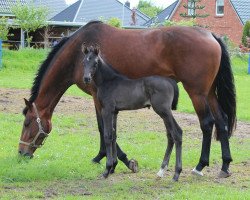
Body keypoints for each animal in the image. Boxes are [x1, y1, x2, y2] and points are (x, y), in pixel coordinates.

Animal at [83, 46, 183, 180]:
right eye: (84, 62)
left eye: (95, 63)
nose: (86, 79)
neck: (108, 82)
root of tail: (170, 81)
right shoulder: (115, 112)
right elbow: (114, 135)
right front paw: (113, 167)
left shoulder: (107, 110)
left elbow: (107, 136)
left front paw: (107, 170)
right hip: (164, 113)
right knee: (170, 135)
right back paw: (161, 171)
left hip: (164, 111)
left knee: (177, 133)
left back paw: (176, 174)